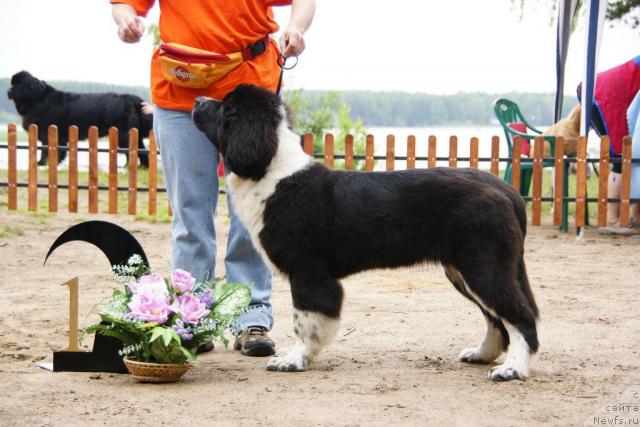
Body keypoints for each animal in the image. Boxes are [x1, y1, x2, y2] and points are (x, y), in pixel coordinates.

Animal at [7, 72, 151, 167]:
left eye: (17, 85)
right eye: (12, 84)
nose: (8, 91)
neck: (38, 98)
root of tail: (132, 98)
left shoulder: (46, 132)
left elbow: (45, 149)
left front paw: (42, 163)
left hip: (124, 134)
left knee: (131, 151)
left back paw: (128, 167)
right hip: (133, 134)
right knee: (141, 151)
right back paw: (142, 167)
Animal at [191, 83, 540, 382]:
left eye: (227, 108)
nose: (196, 101)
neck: (273, 174)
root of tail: (505, 190)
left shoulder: (309, 272)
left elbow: (305, 322)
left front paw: (294, 360)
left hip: (484, 266)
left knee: (519, 316)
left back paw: (511, 370)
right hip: (465, 271)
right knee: (496, 319)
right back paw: (482, 354)